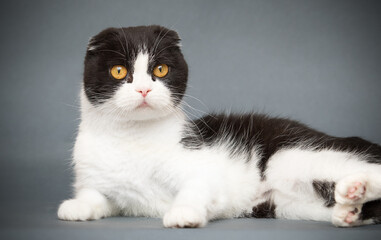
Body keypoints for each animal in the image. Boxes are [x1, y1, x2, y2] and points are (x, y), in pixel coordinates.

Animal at [56, 25, 380, 228]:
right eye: (118, 71)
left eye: (160, 69)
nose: (144, 90)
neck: (131, 137)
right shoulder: (102, 185)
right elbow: (95, 197)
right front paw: (76, 207)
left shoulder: (203, 167)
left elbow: (195, 189)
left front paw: (183, 214)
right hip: (283, 205)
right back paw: (349, 210)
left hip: (290, 156)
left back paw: (355, 187)